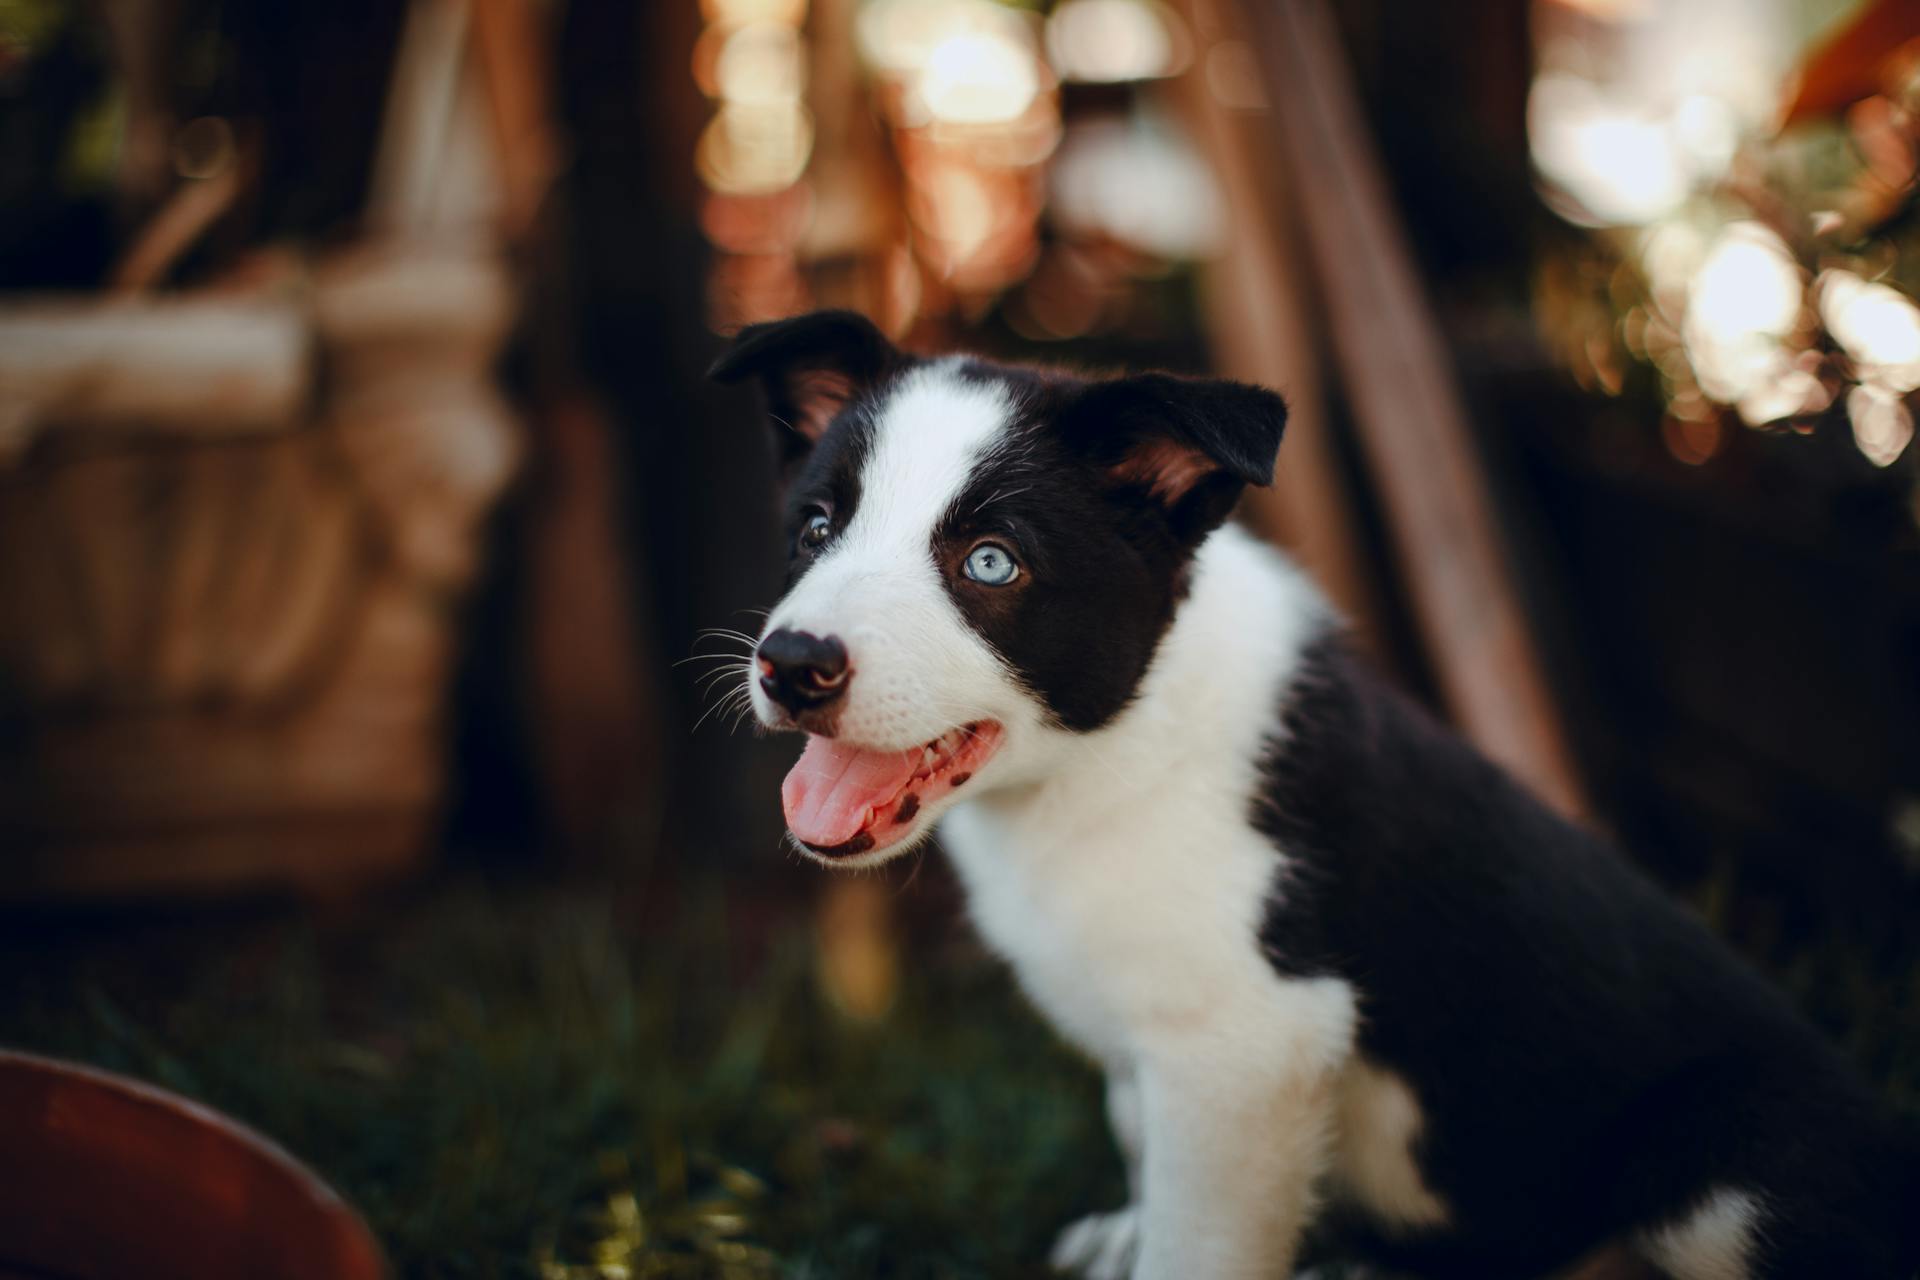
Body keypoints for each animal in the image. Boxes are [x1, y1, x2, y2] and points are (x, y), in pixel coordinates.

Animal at [710, 312, 1920, 1280]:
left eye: (992, 562)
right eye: (816, 527)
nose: (793, 664)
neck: (1103, 759)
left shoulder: (1251, 1035)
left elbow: (1199, 1242)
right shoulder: (1165, 1047)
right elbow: (1146, 1143)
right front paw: (1125, 1235)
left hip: (1735, 1162)